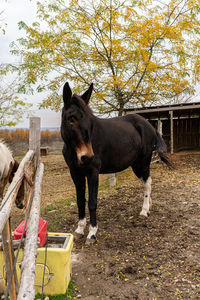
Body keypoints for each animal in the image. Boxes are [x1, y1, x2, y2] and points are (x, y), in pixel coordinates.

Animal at [60, 82, 171, 244]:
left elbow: (92, 202)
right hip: (135, 165)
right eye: (71, 119)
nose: (87, 156)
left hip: (144, 162)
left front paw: (92, 233)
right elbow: (80, 201)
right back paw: (149, 206)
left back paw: (144, 211)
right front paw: (79, 230)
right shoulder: (75, 173)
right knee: (146, 181)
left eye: (89, 120)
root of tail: (148, 125)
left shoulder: (93, 172)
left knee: (148, 182)